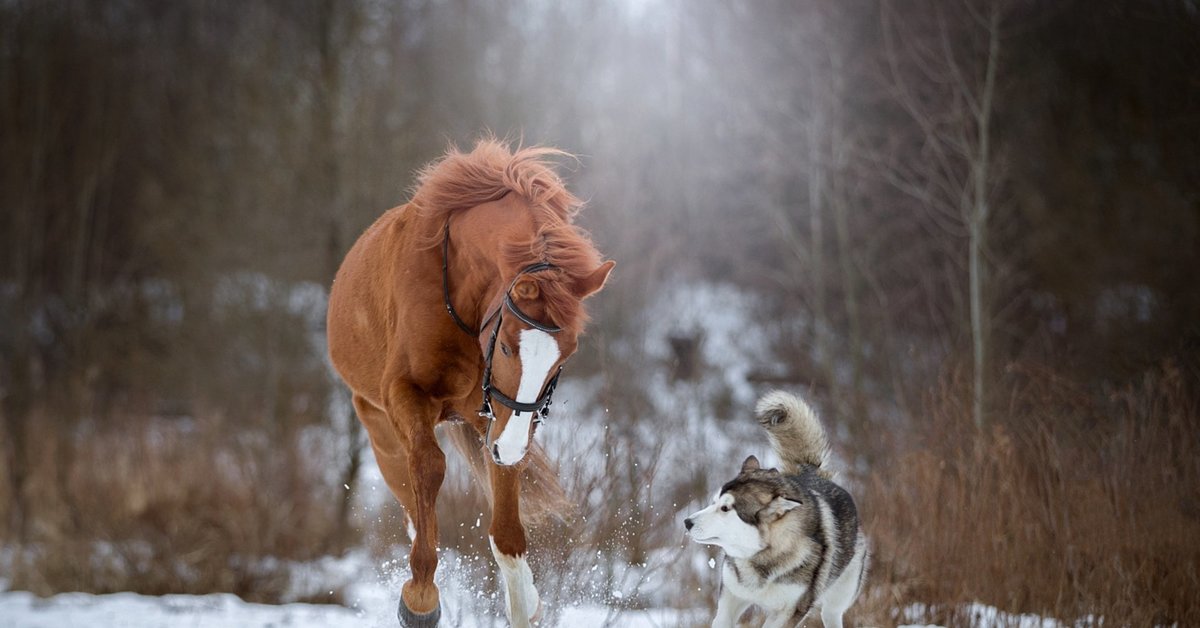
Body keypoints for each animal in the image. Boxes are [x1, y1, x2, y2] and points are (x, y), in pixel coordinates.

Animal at [326, 139, 614, 624]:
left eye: (566, 355)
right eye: (508, 347)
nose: (510, 447)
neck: (459, 294)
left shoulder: (500, 418)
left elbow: (508, 532)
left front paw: (525, 602)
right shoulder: (406, 396)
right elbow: (429, 468)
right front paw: (420, 599)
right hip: (379, 427)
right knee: (411, 502)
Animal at [686, 393, 873, 628]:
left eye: (725, 508)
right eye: (714, 502)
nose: (687, 522)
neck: (763, 559)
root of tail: (811, 473)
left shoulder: (789, 612)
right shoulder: (731, 598)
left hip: (840, 597)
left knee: (832, 614)